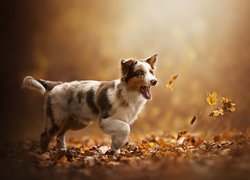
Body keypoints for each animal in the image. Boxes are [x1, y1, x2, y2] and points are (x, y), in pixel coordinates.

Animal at [22, 53, 158, 155]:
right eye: (140, 74)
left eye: (151, 72)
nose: (154, 81)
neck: (126, 93)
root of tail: (58, 85)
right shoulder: (104, 119)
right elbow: (125, 128)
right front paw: (116, 148)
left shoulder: (119, 120)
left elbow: (119, 134)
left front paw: (115, 153)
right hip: (56, 119)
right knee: (45, 135)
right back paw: (46, 154)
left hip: (77, 122)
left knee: (59, 135)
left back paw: (63, 151)